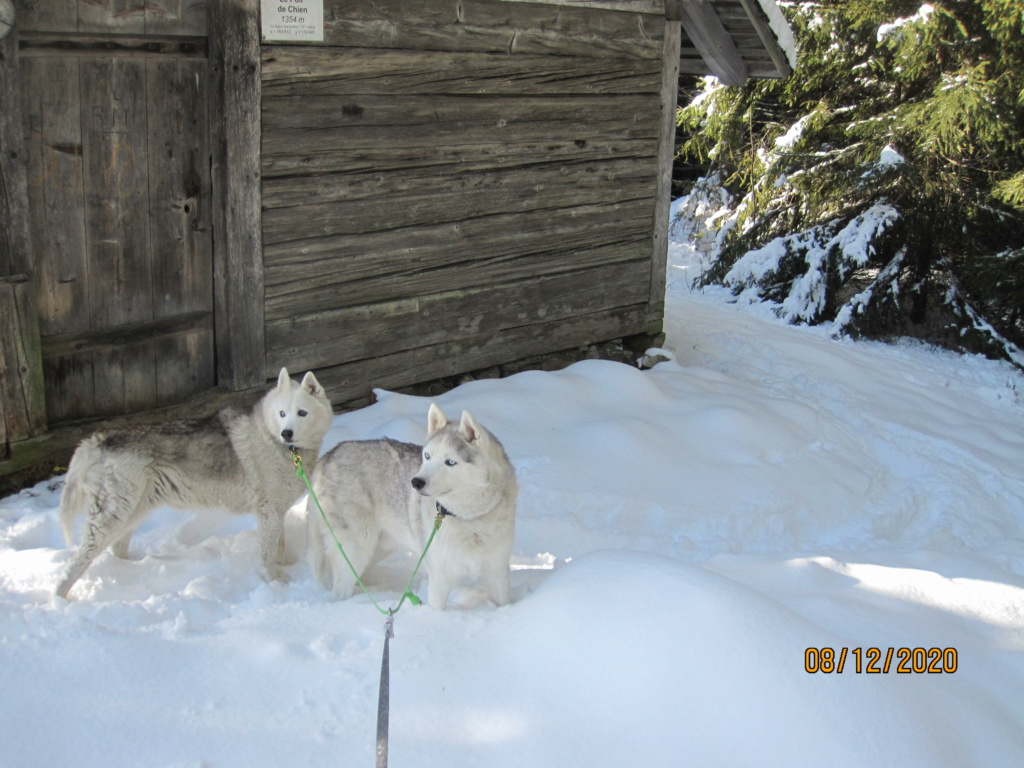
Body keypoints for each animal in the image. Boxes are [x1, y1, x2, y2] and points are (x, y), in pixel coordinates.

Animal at [56, 368, 331, 602]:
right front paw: (273, 581)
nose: (286, 433)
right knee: (74, 563)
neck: (282, 447)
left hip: (132, 512)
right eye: (282, 414)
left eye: (302, 413)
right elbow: (267, 555)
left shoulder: (274, 511)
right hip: (111, 519)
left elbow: (278, 546)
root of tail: (97, 439)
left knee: (117, 548)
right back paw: (60, 599)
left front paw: (284, 565)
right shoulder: (269, 512)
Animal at [305, 403, 516, 614]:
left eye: (450, 462)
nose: (416, 482)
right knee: (341, 589)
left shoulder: (497, 571)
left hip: (379, 546)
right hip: (356, 548)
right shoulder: (440, 578)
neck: (468, 517)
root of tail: (329, 455)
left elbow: (505, 603)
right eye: (427, 456)